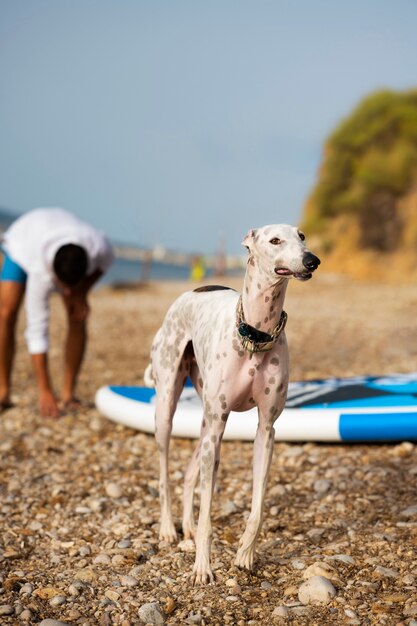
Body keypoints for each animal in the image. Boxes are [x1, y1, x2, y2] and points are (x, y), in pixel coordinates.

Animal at [145, 225, 320, 584]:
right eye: (275, 240)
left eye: (302, 236)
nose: (312, 260)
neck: (256, 334)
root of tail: (191, 292)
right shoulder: (217, 424)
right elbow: (208, 515)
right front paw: (202, 567)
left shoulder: (266, 429)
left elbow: (258, 506)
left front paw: (245, 554)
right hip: (171, 408)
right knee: (165, 472)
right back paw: (169, 528)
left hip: (207, 424)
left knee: (189, 474)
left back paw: (187, 529)